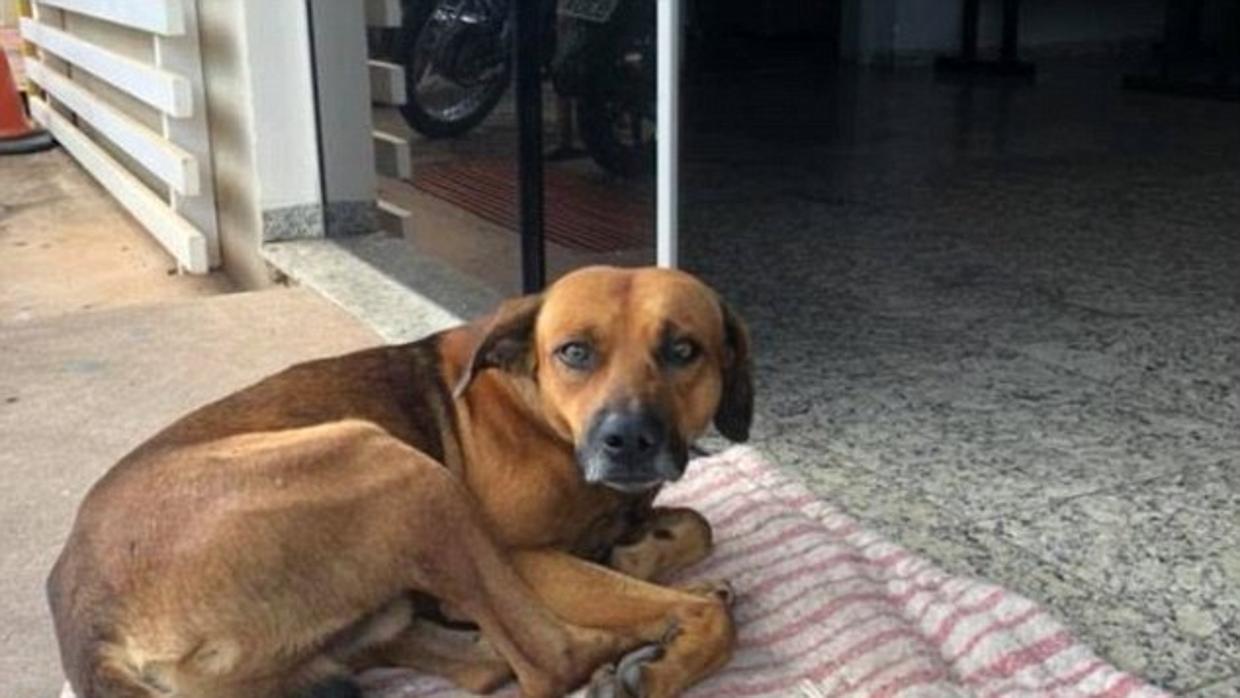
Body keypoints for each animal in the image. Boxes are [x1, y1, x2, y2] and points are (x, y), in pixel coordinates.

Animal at [48, 265, 748, 694]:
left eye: (683, 350)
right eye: (574, 352)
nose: (628, 441)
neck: (537, 406)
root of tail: (88, 617)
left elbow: (697, 523)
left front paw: (638, 552)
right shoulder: (520, 555)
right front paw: (670, 635)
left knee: (484, 665)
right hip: (392, 464)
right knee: (553, 660)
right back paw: (654, 635)